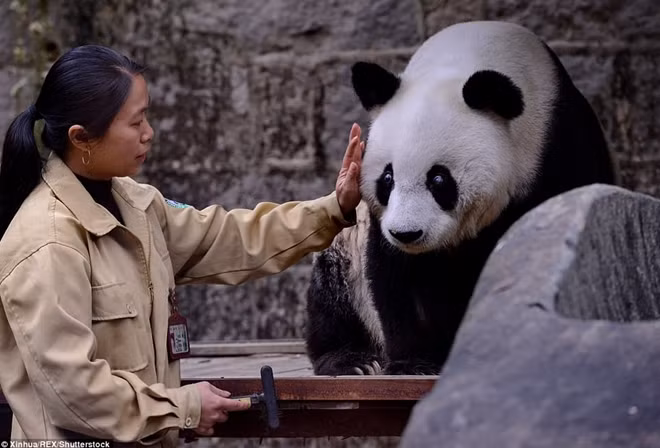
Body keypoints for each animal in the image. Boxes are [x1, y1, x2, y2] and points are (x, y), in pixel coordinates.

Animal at [305, 21, 617, 376]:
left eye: (439, 179)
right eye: (387, 179)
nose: (407, 233)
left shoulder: (560, 147)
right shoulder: (379, 221)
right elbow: (395, 273)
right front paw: (413, 363)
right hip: (347, 262)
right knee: (333, 292)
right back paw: (350, 359)